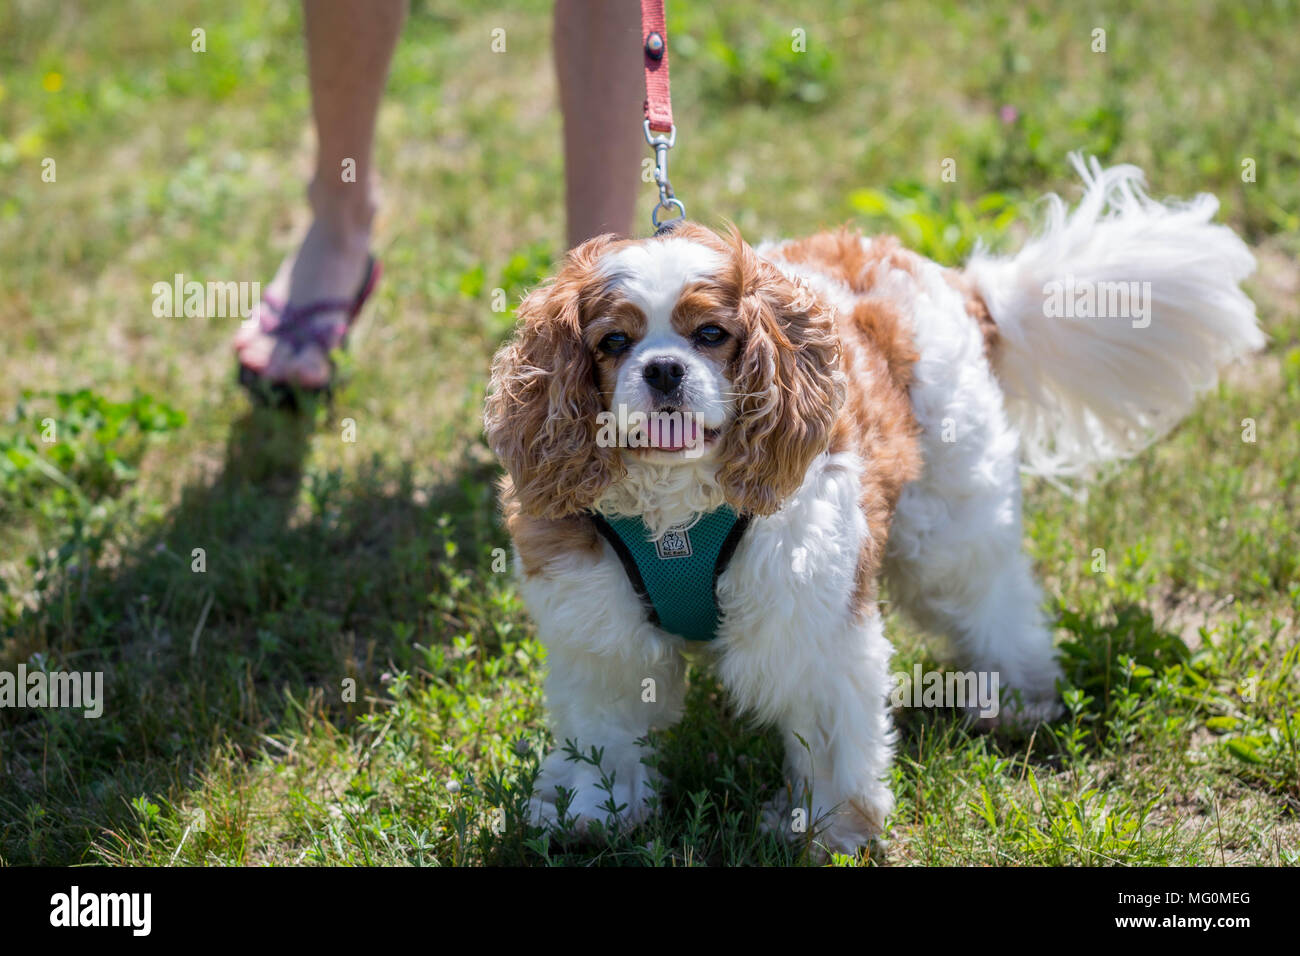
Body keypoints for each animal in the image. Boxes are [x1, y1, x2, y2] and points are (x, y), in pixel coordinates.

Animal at [483, 155, 1263, 853]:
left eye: (710, 334)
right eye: (614, 341)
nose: (665, 370)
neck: (676, 513)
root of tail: (952, 279)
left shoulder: (814, 625)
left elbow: (829, 734)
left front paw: (831, 827)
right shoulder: (599, 630)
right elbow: (605, 730)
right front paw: (592, 812)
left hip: (946, 523)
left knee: (997, 598)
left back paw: (1018, 695)